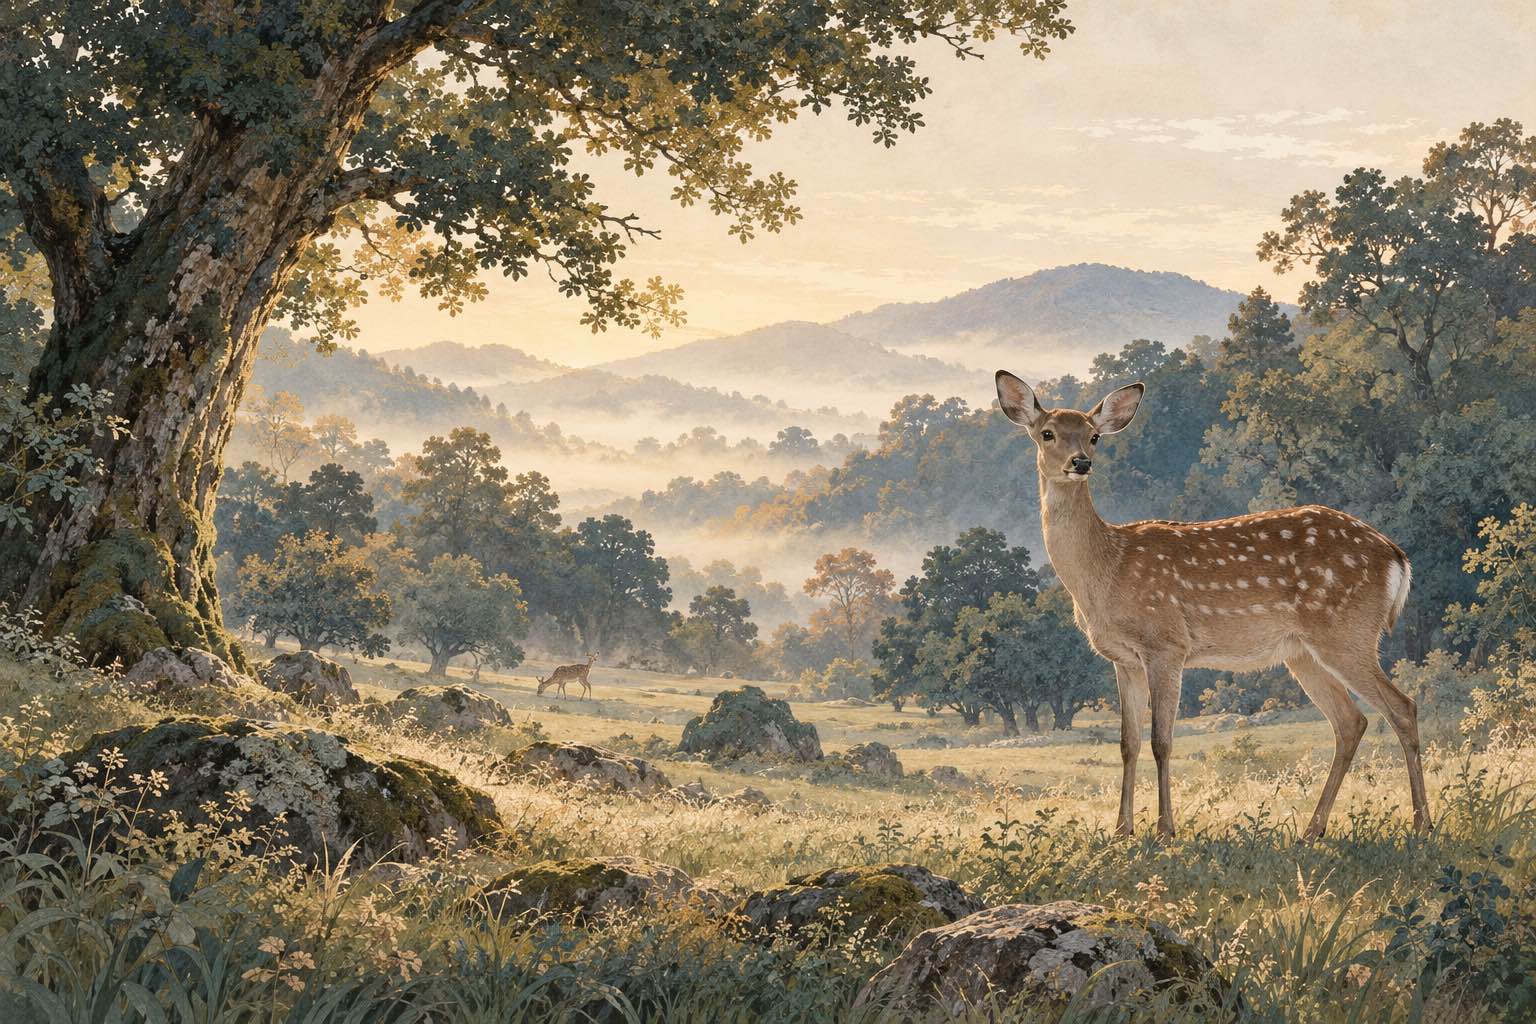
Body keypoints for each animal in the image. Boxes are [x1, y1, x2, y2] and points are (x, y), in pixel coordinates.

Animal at [995, 371, 1428, 842]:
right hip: (1302, 652)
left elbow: (1161, 740)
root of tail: (1397, 558)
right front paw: (1122, 830)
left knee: (1402, 707)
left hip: (1346, 632)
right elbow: (1128, 743)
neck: (1107, 567)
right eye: (1047, 433)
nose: (1080, 462)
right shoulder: (1123, 658)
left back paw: (1422, 823)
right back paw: (1313, 830)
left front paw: (1165, 829)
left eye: (1094, 436)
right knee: (1351, 722)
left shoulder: (1166, 644)